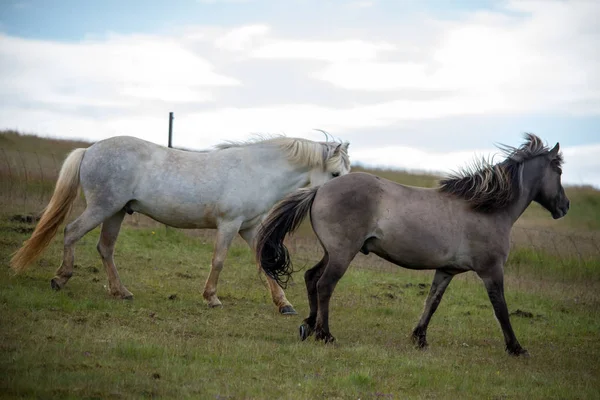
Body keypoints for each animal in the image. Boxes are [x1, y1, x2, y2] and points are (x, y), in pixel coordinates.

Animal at [9, 136, 352, 314]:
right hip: (101, 208)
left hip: (116, 212)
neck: (258, 171)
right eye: (335, 174)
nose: (344, 202)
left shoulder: (249, 228)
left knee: (105, 248)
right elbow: (219, 261)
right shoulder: (229, 226)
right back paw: (60, 279)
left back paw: (121, 292)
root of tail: (90, 149)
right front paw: (211, 298)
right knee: (71, 233)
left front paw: (284, 305)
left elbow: (265, 262)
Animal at [255, 134, 568, 356]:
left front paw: (420, 338)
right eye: (559, 171)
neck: (487, 209)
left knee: (311, 278)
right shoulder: (491, 271)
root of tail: (320, 189)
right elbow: (500, 308)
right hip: (343, 254)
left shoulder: (446, 270)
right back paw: (325, 334)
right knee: (324, 285)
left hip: (332, 252)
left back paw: (308, 326)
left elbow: (432, 302)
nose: (564, 207)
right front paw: (516, 348)